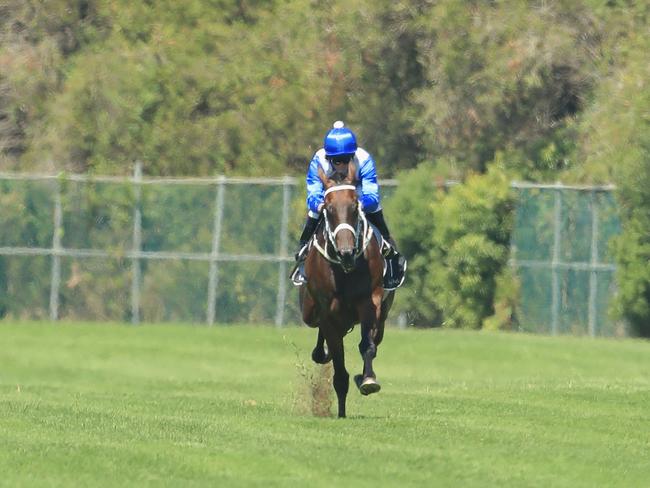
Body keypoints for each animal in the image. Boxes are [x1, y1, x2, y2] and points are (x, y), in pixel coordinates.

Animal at [296, 162, 392, 418]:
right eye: (328, 208)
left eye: (354, 205)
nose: (347, 252)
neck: (344, 269)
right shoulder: (326, 312)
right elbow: (338, 365)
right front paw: (340, 411)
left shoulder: (369, 301)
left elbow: (367, 346)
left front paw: (368, 379)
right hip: (309, 312)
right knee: (322, 341)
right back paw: (322, 352)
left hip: (383, 312)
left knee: (376, 337)